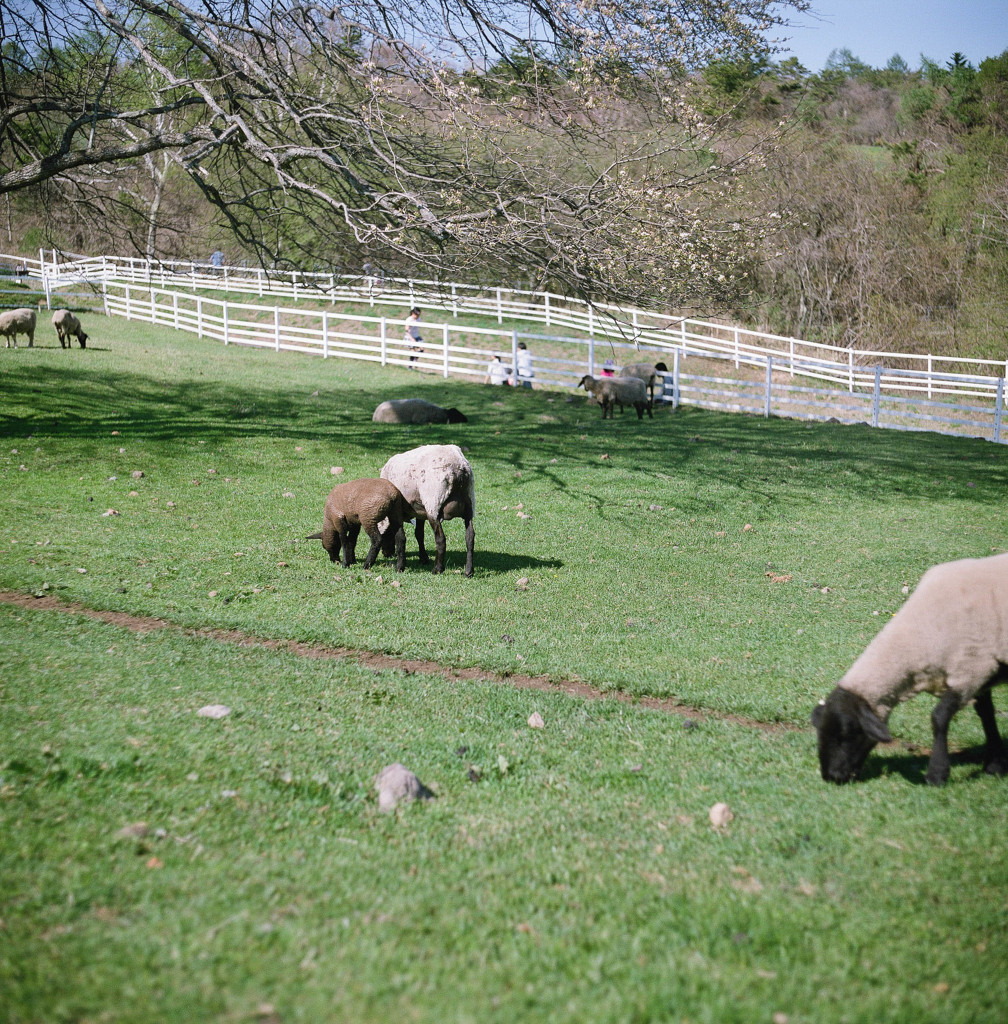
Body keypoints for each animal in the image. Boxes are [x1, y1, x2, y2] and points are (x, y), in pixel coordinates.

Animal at [381, 444, 477, 581]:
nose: (386, 554)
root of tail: (458, 467)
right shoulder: (420, 512)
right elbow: (419, 534)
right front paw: (423, 558)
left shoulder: (399, 511)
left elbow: (401, 538)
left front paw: (400, 567)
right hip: (469, 504)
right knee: (470, 538)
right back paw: (469, 571)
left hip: (434, 503)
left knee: (441, 539)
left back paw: (438, 569)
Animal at [811, 552, 1008, 782]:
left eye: (847, 733)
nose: (831, 776)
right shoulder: (979, 671)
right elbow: (986, 713)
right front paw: (995, 765)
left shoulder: (972, 668)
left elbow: (939, 717)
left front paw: (936, 774)